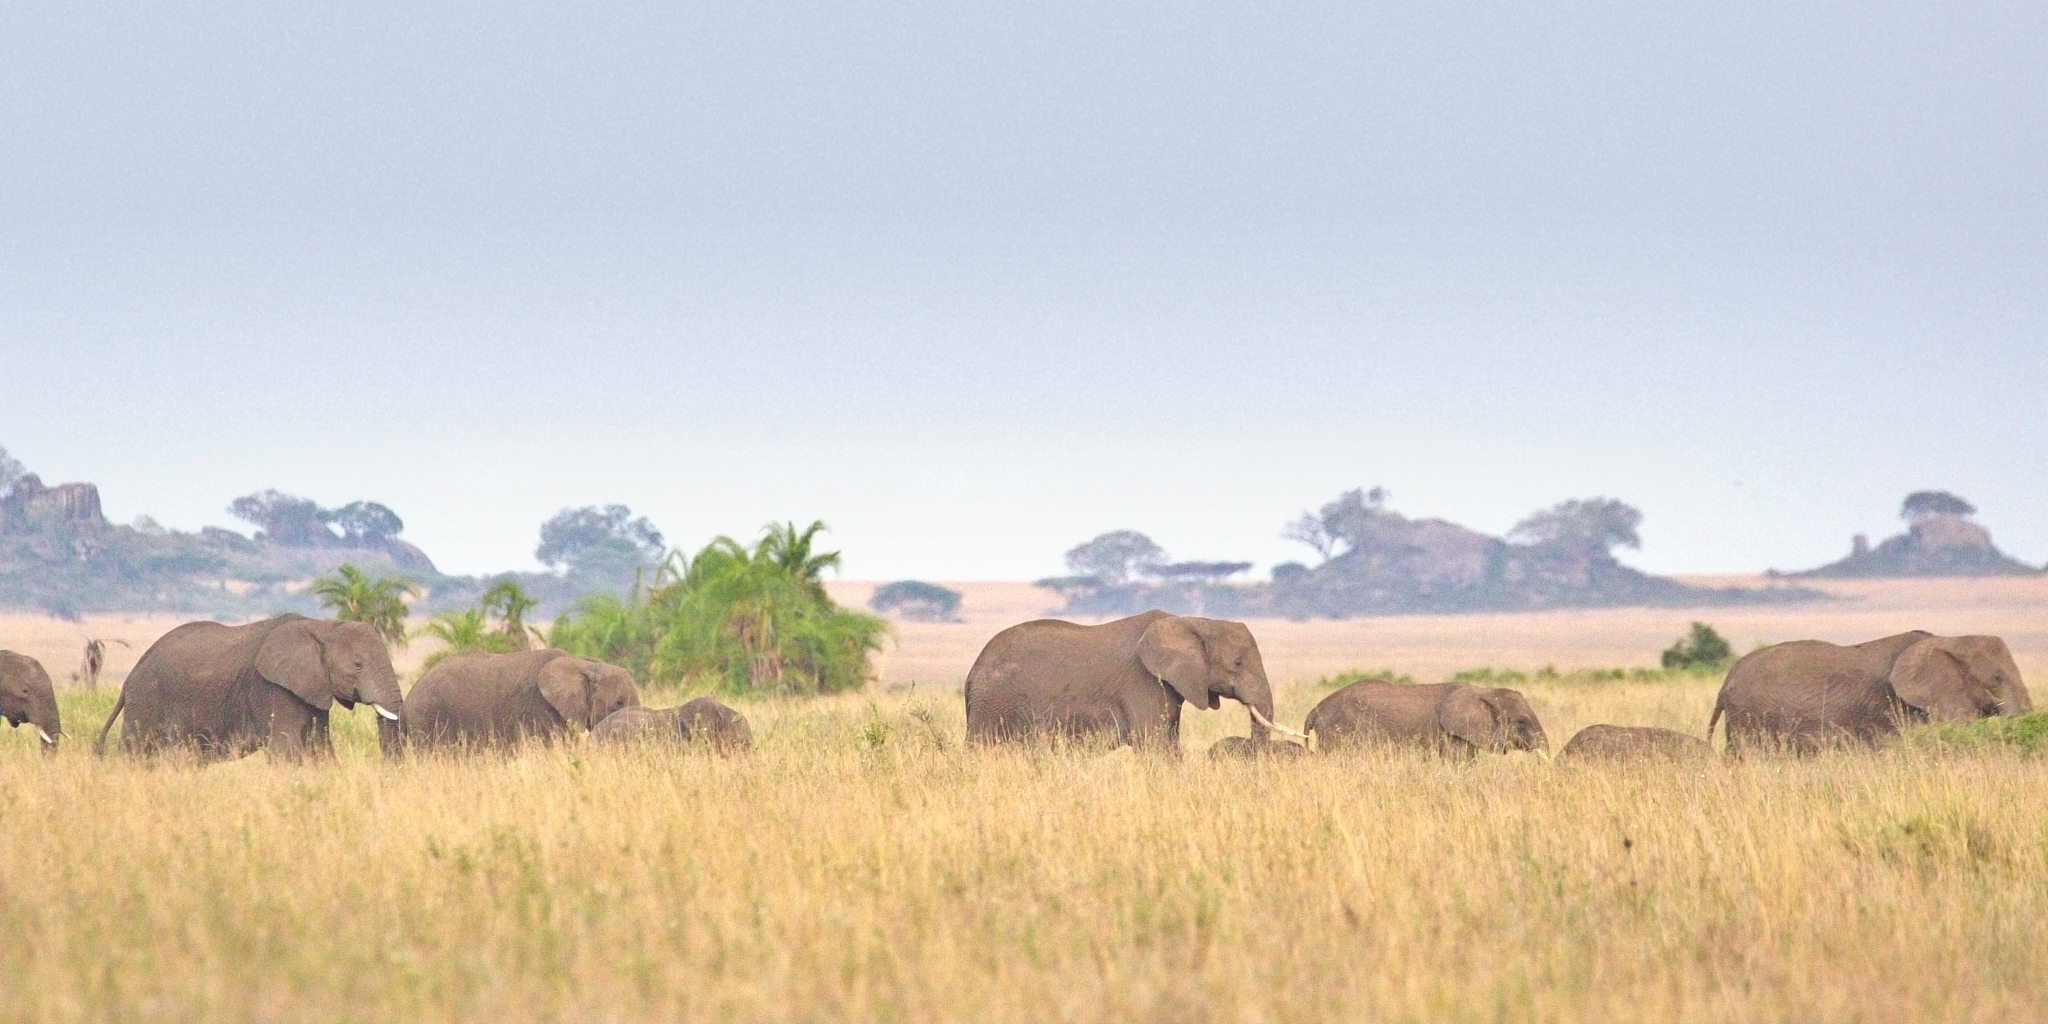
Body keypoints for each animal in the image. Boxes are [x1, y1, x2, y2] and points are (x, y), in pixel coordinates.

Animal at [95, 614, 402, 761]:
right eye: (358, 665)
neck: (322, 627)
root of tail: (130, 676)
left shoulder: (311, 687)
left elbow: (320, 747)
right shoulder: (270, 688)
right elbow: (285, 750)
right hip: (146, 700)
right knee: (136, 751)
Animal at [963, 611, 1283, 755]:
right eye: (1237, 663)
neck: (1194, 621)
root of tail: (971, 674)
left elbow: (1169, 742)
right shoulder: (1144, 683)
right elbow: (1155, 746)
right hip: (994, 704)